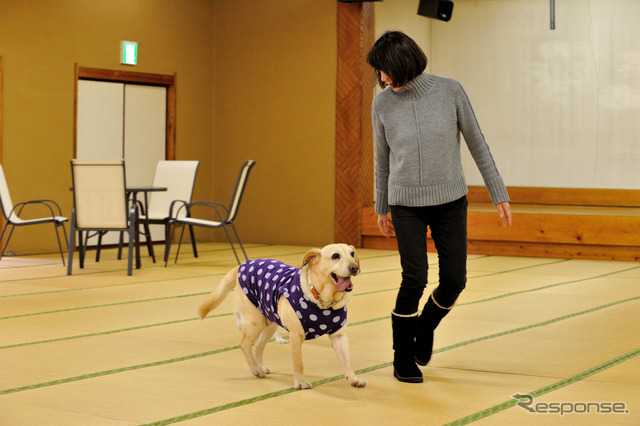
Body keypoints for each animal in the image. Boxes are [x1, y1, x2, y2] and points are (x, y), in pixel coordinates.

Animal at [196, 243, 364, 390]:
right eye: (335, 256)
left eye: (352, 254)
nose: (354, 267)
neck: (324, 301)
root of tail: (241, 265)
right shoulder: (296, 335)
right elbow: (298, 363)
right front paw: (300, 382)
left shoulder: (339, 335)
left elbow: (347, 360)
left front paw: (353, 378)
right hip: (254, 321)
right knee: (244, 344)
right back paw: (255, 369)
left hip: (270, 322)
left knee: (258, 345)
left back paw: (260, 367)